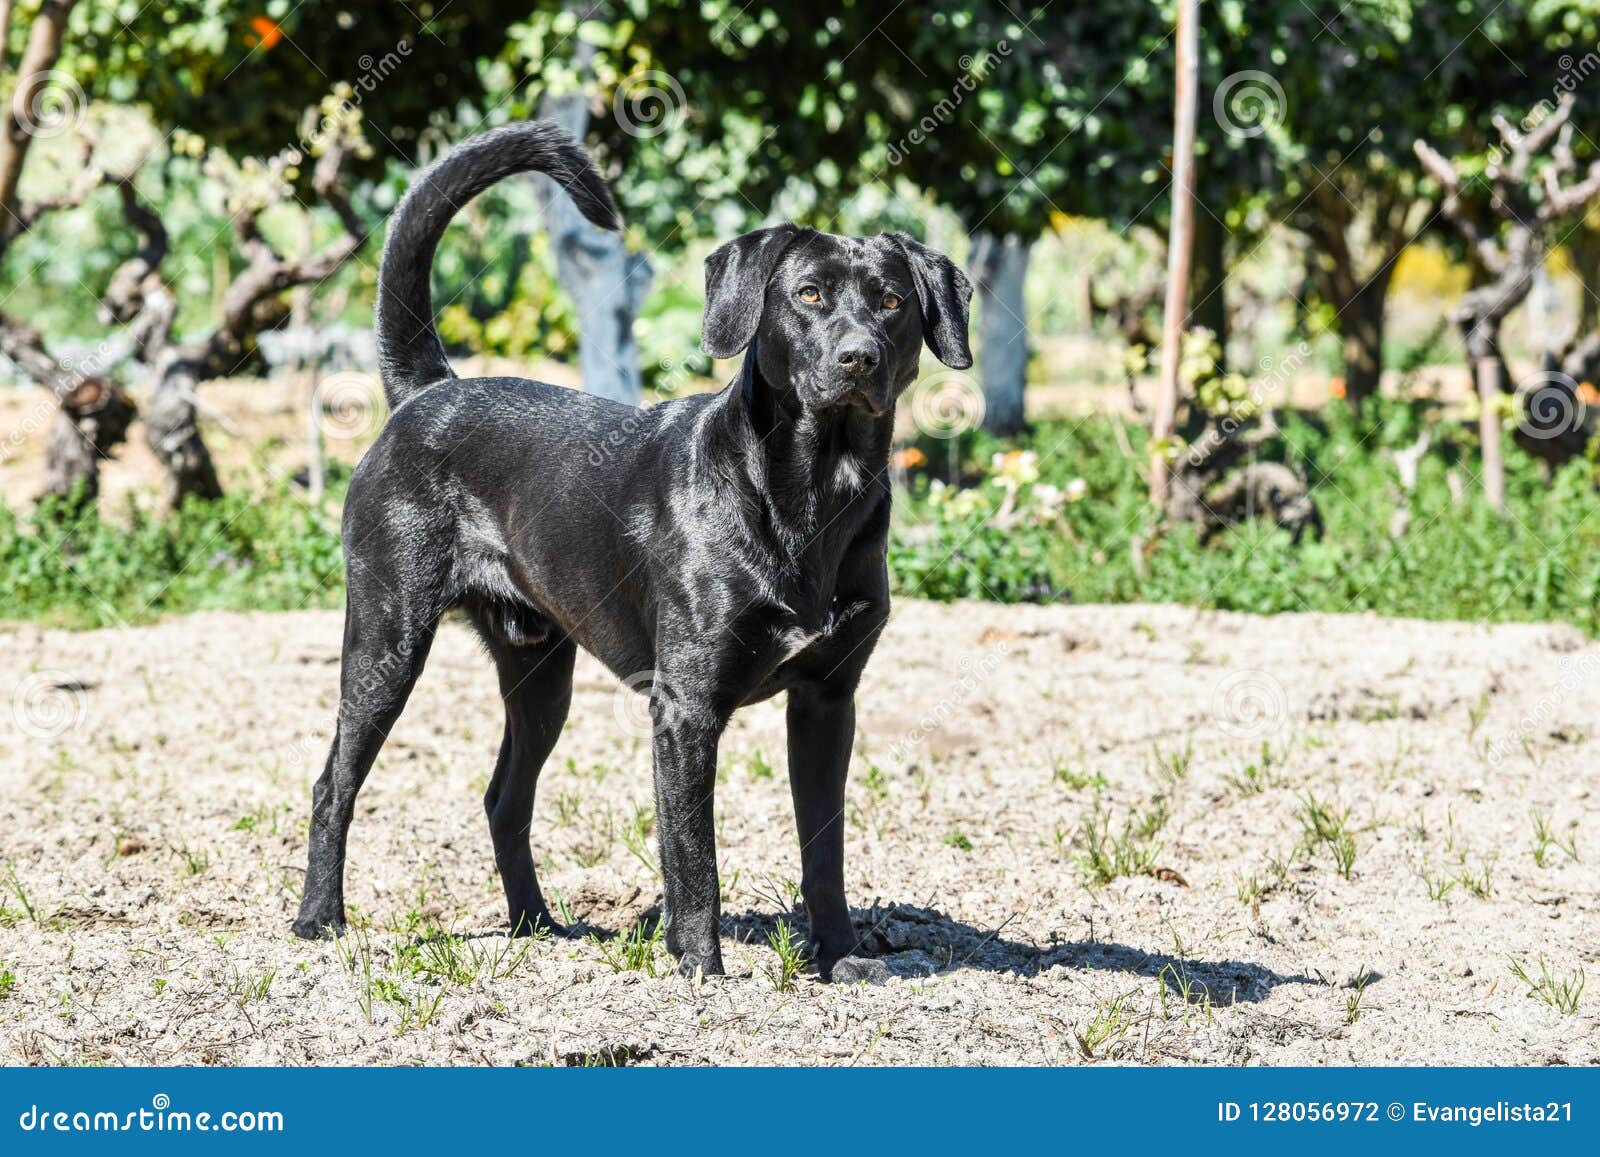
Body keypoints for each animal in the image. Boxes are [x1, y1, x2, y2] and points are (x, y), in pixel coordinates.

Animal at [297, 122, 972, 979]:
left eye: (890, 301)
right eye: (810, 294)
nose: (859, 358)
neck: (815, 491)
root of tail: (429, 389)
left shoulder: (828, 699)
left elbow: (826, 849)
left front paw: (844, 957)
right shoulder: (685, 707)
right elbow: (693, 855)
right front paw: (701, 966)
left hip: (541, 675)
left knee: (504, 798)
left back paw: (536, 924)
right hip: (386, 643)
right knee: (333, 784)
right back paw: (319, 919)